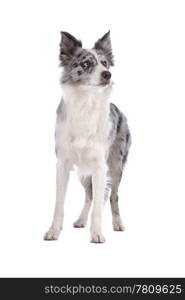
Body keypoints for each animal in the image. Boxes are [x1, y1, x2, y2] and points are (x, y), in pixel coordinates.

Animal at [44, 30, 131, 243]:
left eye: (105, 63)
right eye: (85, 64)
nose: (107, 74)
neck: (86, 102)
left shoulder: (100, 166)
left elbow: (99, 206)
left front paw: (97, 234)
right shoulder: (63, 164)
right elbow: (59, 203)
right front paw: (53, 231)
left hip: (116, 167)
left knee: (113, 196)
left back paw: (118, 223)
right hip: (83, 172)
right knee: (89, 195)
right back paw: (81, 220)